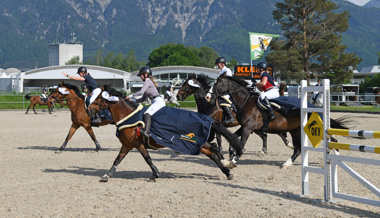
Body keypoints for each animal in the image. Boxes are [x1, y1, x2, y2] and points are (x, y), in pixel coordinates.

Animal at [90, 85, 242, 182]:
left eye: (98, 98)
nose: (90, 108)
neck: (127, 115)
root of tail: (208, 120)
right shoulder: (127, 145)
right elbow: (117, 159)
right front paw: (107, 175)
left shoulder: (137, 143)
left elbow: (147, 158)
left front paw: (155, 174)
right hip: (199, 145)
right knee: (212, 152)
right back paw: (227, 171)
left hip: (197, 143)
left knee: (215, 148)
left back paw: (227, 165)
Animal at [208, 76, 350, 169]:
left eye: (216, 84)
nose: (208, 97)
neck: (245, 102)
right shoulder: (245, 127)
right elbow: (233, 141)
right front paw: (228, 160)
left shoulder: (248, 128)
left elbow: (241, 144)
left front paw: (233, 161)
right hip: (295, 131)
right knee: (298, 149)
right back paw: (286, 164)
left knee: (333, 140)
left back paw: (336, 160)